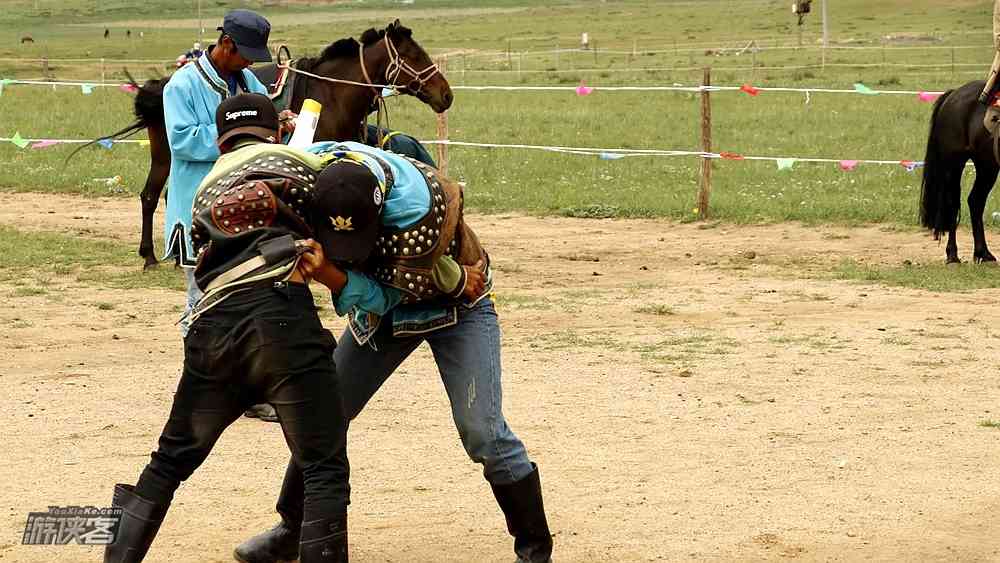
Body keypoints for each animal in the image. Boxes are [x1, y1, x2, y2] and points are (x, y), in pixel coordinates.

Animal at [76, 18, 452, 270]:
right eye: (414, 55)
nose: (446, 95)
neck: (331, 94)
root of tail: (163, 84)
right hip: (167, 154)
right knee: (152, 196)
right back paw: (153, 257)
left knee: (156, 195)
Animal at [920, 80, 1000, 264]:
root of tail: (953, 93)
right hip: (954, 165)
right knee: (953, 203)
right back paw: (953, 255)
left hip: (987, 166)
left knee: (975, 201)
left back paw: (983, 253)